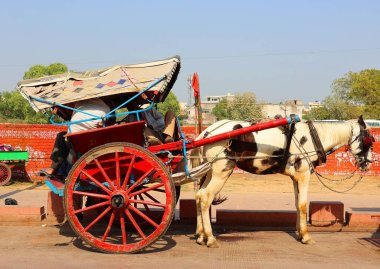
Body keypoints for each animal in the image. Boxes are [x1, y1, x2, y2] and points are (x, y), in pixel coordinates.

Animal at [190, 115, 374, 247]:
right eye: (368, 141)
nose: (368, 164)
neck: (312, 137)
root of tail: (206, 133)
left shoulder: (295, 177)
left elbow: (297, 204)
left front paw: (300, 233)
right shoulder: (304, 174)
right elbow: (303, 204)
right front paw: (306, 236)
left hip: (209, 171)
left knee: (199, 195)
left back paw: (200, 235)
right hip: (222, 171)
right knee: (206, 197)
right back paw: (210, 238)